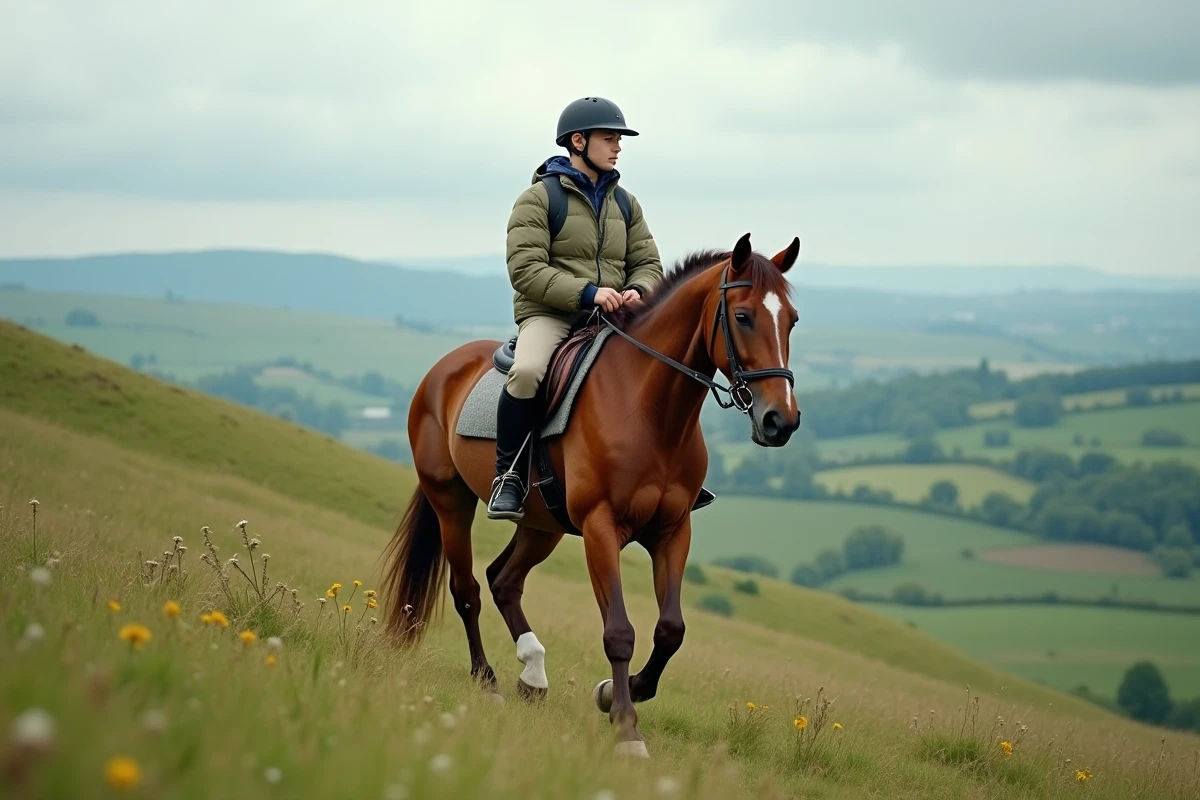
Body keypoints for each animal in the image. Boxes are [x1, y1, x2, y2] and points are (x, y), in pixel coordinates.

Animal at [381, 232, 802, 757]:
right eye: (743, 316)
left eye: (792, 320)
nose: (780, 421)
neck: (650, 411)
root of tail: (442, 370)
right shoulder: (602, 528)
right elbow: (619, 631)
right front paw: (625, 727)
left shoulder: (672, 530)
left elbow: (671, 630)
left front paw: (616, 694)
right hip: (451, 502)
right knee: (468, 592)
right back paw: (488, 681)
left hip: (542, 525)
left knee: (504, 580)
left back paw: (533, 672)